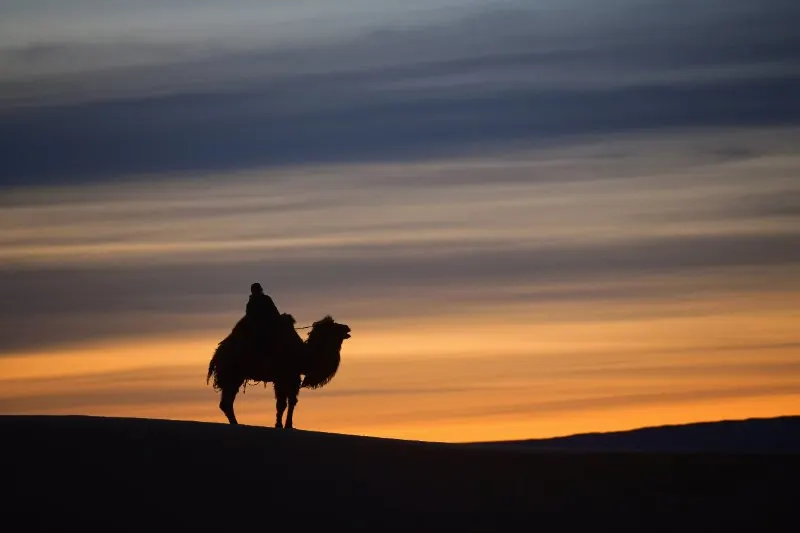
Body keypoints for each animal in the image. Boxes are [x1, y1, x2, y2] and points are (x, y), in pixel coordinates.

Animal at [206, 312, 350, 428]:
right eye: (334, 326)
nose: (347, 327)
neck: (304, 355)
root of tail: (217, 355)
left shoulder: (283, 379)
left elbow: (282, 404)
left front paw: (280, 425)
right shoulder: (288, 377)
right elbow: (288, 403)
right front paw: (287, 426)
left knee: (226, 402)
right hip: (232, 374)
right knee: (226, 402)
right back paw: (236, 423)